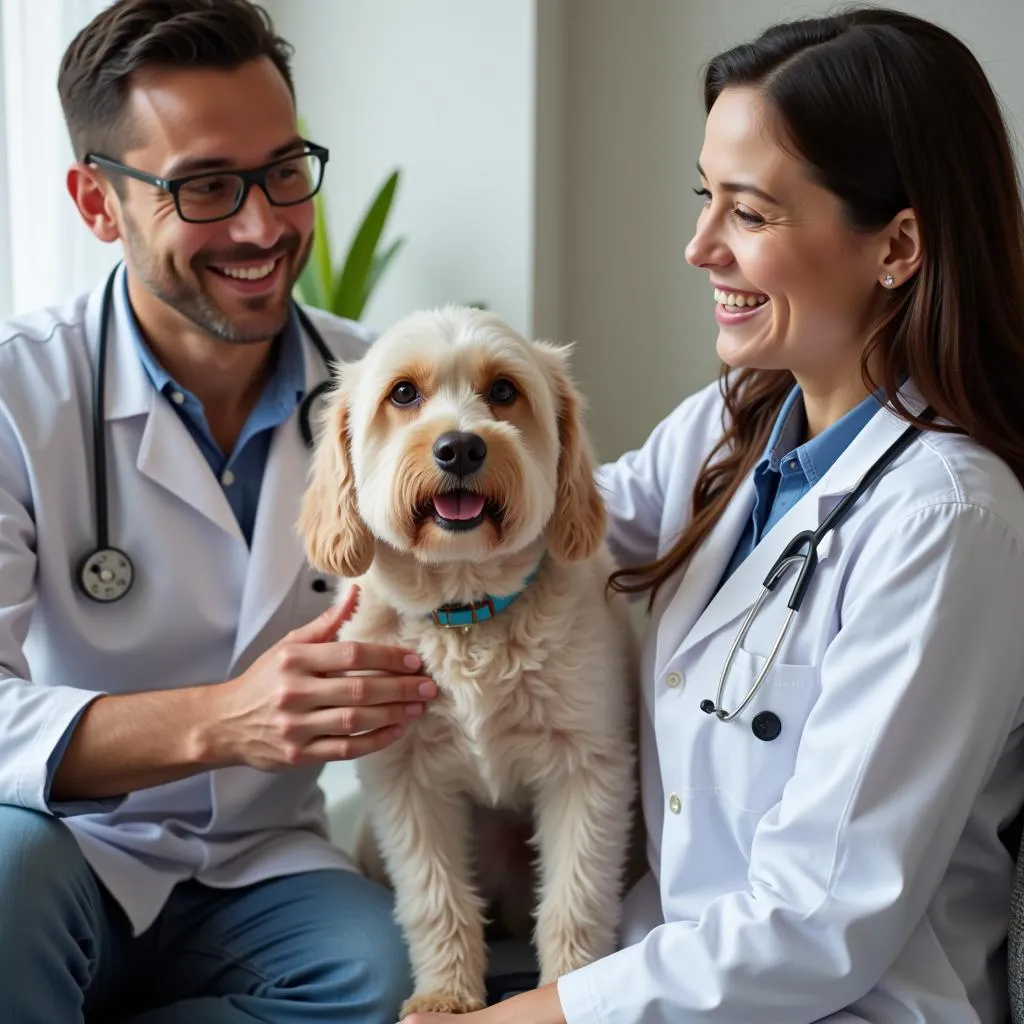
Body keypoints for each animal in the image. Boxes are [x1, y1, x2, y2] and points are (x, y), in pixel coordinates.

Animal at [296, 305, 634, 1015]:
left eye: (504, 391)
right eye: (403, 394)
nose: (459, 447)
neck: (468, 611)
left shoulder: (588, 771)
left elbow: (576, 897)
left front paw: (566, 986)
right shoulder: (404, 780)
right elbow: (435, 898)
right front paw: (446, 996)